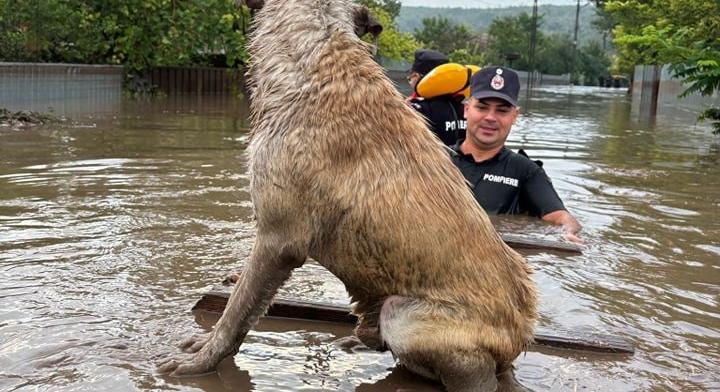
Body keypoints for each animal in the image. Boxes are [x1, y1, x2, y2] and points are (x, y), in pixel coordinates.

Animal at [160, 1, 536, 390]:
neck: (318, 56)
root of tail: (516, 344)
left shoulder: (278, 240)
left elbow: (236, 312)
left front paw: (202, 361)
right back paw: (356, 341)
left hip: (404, 316)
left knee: (473, 373)